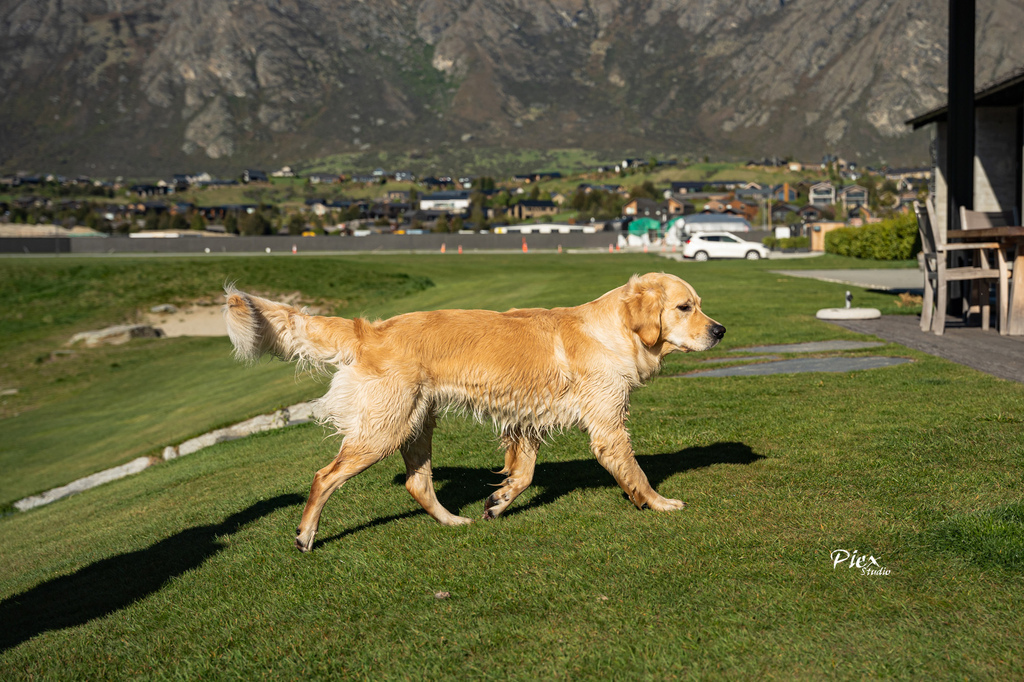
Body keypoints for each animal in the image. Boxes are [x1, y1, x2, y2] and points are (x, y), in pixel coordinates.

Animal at [223, 270, 724, 548]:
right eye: (685, 307)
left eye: (699, 306)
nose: (720, 330)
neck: (614, 330)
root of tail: (372, 329)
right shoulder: (607, 425)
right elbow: (635, 473)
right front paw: (658, 503)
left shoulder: (525, 422)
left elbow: (523, 474)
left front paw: (498, 503)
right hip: (382, 430)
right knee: (324, 477)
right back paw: (305, 535)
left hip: (416, 423)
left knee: (417, 483)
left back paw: (453, 520)